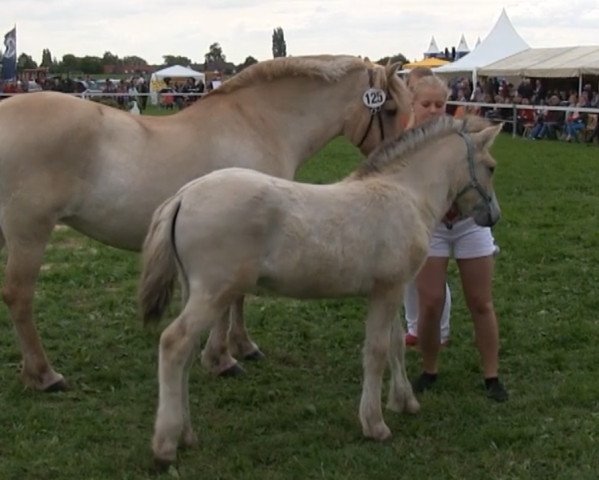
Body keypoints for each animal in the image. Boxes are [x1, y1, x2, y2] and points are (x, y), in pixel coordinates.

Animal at [0, 54, 412, 392]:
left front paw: (242, 347)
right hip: (28, 233)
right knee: (19, 295)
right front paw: (221, 359)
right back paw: (44, 375)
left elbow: (239, 298)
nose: (401, 157)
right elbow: (230, 301)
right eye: (390, 108)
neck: (259, 123)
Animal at [139, 114, 502, 464]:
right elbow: (376, 352)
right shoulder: (386, 291)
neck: (406, 193)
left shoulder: (391, 289)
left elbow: (396, 344)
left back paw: (186, 435)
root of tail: (183, 195)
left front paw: (405, 402)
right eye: (491, 166)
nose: (493, 216)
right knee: (174, 343)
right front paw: (375, 424)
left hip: (195, 291)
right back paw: (165, 445)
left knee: (186, 354)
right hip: (213, 293)